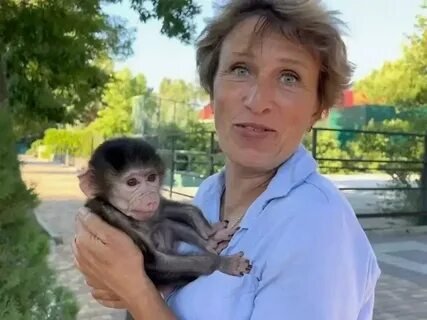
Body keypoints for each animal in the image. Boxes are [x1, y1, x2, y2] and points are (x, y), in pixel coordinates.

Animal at [78, 137, 252, 288]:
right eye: (132, 182)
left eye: (151, 178)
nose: (150, 196)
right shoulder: (114, 217)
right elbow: (156, 262)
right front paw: (222, 263)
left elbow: (164, 210)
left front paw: (209, 231)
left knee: (165, 224)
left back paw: (211, 241)